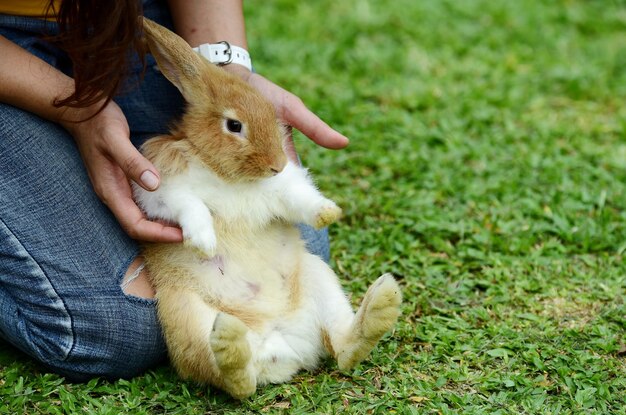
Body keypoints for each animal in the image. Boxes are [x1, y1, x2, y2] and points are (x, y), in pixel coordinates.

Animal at [134, 17, 402, 402]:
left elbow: (300, 197)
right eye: (234, 125)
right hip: (185, 317)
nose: (276, 164)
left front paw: (328, 212)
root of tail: (284, 345)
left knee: (343, 349)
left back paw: (382, 304)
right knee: (237, 380)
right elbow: (191, 206)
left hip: (317, 278)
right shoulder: (163, 190)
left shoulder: (282, 189)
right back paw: (230, 342)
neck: (224, 172)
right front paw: (204, 241)